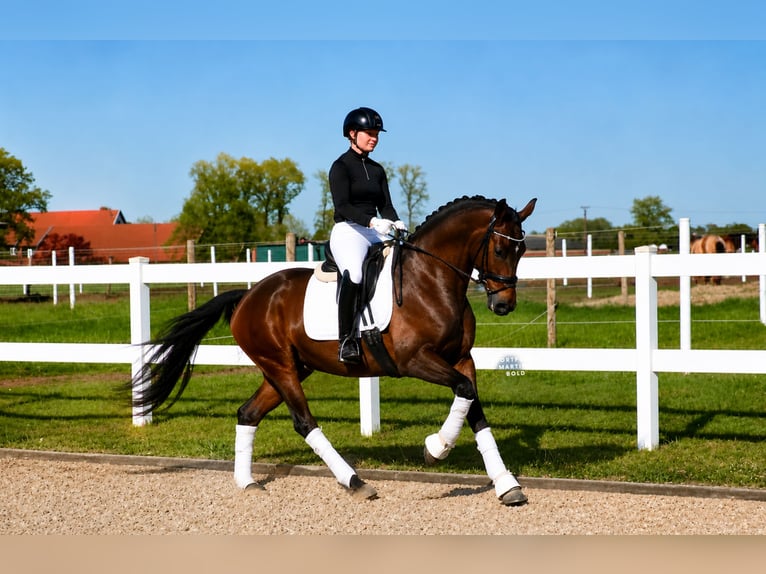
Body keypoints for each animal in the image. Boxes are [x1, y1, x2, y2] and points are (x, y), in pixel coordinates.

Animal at [131, 195, 537, 507]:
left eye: (522, 249)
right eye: (500, 248)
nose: (504, 306)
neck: (431, 278)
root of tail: (247, 295)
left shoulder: (461, 359)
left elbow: (473, 407)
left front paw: (506, 485)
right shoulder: (415, 361)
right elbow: (464, 395)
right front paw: (434, 448)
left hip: (288, 368)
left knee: (248, 413)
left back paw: (247, 482)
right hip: (281, 367)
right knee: (304, 422)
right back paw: (355, 481)